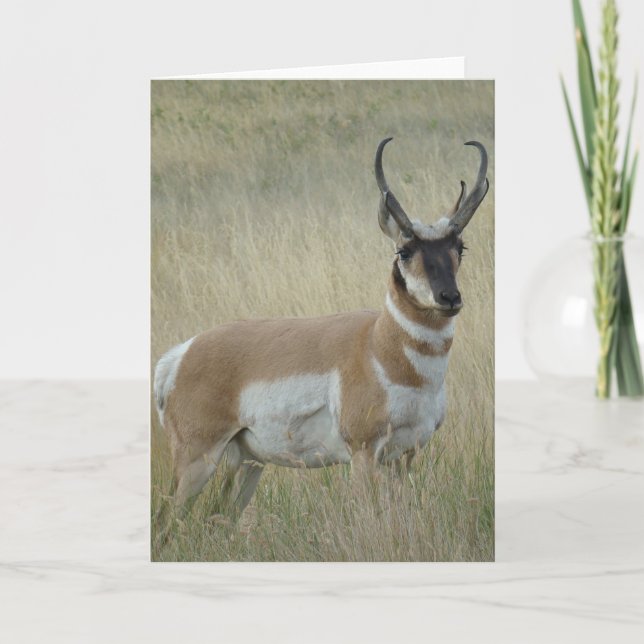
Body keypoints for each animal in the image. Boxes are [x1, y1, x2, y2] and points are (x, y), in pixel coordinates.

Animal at [154, 137, 489, 519]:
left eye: (460, 247)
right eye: (404, 251)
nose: (449, 297)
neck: (378, 344)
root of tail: (181, 353)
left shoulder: (405, 455)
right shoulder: (363, 453)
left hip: (248, 463)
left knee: (219, 519)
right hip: (197, 459)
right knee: (167, 521)